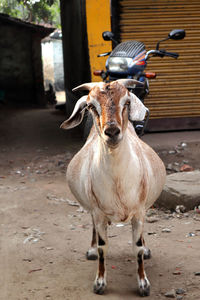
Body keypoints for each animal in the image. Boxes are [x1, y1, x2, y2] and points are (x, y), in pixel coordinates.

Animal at [60, 78, 166, 296]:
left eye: (127, 102)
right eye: (91, 106)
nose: (112, 132)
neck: (118, 183)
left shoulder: (139, 213)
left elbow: (137, 247)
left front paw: (143, 284)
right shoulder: (99, 213)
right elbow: (103, 247)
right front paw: (100, 283)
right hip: (93, 210)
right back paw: (91, 250)